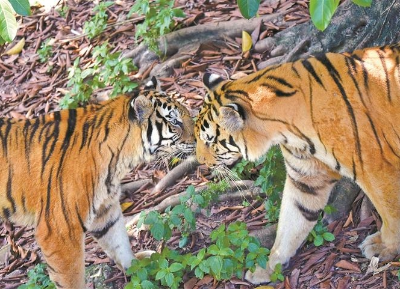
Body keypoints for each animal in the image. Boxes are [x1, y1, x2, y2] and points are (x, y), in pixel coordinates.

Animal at [0, 77, 195, 288]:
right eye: (175, 121)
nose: (199, 139)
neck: (119, 160)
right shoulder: (59, 233)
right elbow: (71, 279)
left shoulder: (105, 210)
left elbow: (119, 243)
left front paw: (138, 267)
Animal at [195, 43, 400, 284]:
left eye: (210, 141)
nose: (199, 161)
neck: (287, 131)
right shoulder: (306, 178)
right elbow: (292, 222)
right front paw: (267, 267)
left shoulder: (377, 168)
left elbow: (392, 213)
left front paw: (385, 247)